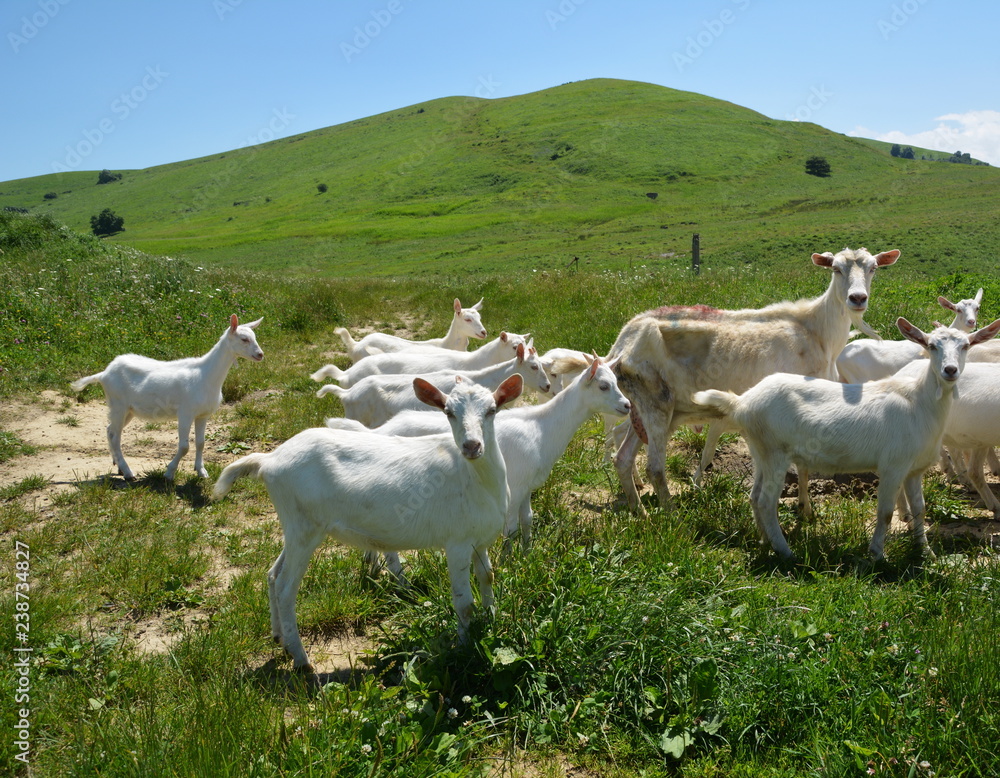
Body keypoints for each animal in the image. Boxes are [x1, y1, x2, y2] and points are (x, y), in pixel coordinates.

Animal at [70, 314, 264, 481]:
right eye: (244, 339)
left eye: (254, 337)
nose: (260, 354)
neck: (206, 375)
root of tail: (104, 374)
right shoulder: (185, 412)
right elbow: (184, 446)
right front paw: (169, 473)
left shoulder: (203, 414)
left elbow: (200, 443)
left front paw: (201, 471)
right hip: (118, 403)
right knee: (115, 435)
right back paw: (128, 472)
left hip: (128, 410)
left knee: (110, 430)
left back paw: (118, 466)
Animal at [212, 374, 524, 671]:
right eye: (448, 412)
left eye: (492, 410)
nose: (472, 446)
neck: (474, 478)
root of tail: (268, 460)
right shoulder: (457, 542)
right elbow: (464, 604)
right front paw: (463, 647)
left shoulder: (480, 541)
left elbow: (488, 577)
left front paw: (492, 620)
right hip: (305, 527)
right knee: (286, 588)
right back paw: (301, 660)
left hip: (296, 525)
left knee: (273, 574)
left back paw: (280, 638)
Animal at [607, 247, 900, 513]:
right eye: (836, 269)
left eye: (873, 268)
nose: (857, 298)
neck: (816, 333)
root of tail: (621, 344)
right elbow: (802, 466)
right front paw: (805, 509)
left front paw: (805, 508)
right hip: (657, 403)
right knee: (655, 467)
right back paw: (670, 514)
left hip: (645, 408)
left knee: (622, 458)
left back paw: (640, 510)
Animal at [691, 317, 1000, 560]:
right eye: (932, 345)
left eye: (966, 346)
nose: (950, 371)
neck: (918, 402)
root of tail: (743, 402)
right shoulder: (892, 466)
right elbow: (885, 512)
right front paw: (877, 555)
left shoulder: (914, 469)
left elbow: (920, 510)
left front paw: (926, 553)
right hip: (775, 453)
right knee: (767, 502)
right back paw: (785, 552)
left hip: (761, 452)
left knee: (755, 497)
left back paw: (765, 541)